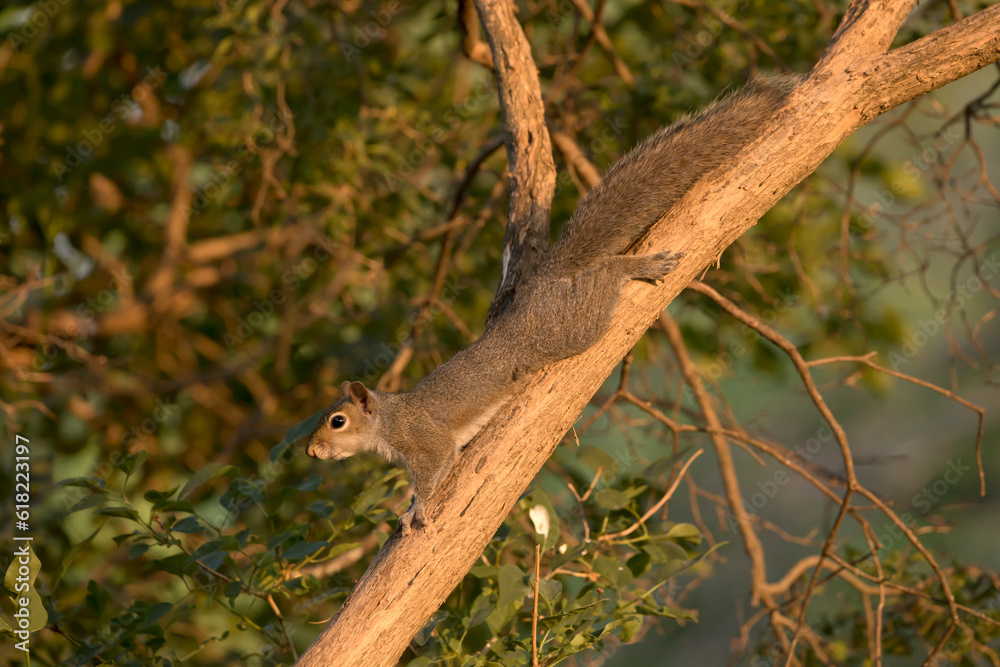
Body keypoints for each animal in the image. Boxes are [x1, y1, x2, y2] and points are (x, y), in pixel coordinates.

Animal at [304, 74, 796, 532]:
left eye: (337, 421)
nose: (311, 450)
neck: (389, 420)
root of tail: (543, 287)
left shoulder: (427, 442)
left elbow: (432, 473)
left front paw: (416, 510)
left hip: (571, 325)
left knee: (607, 276)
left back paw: (638, 266)